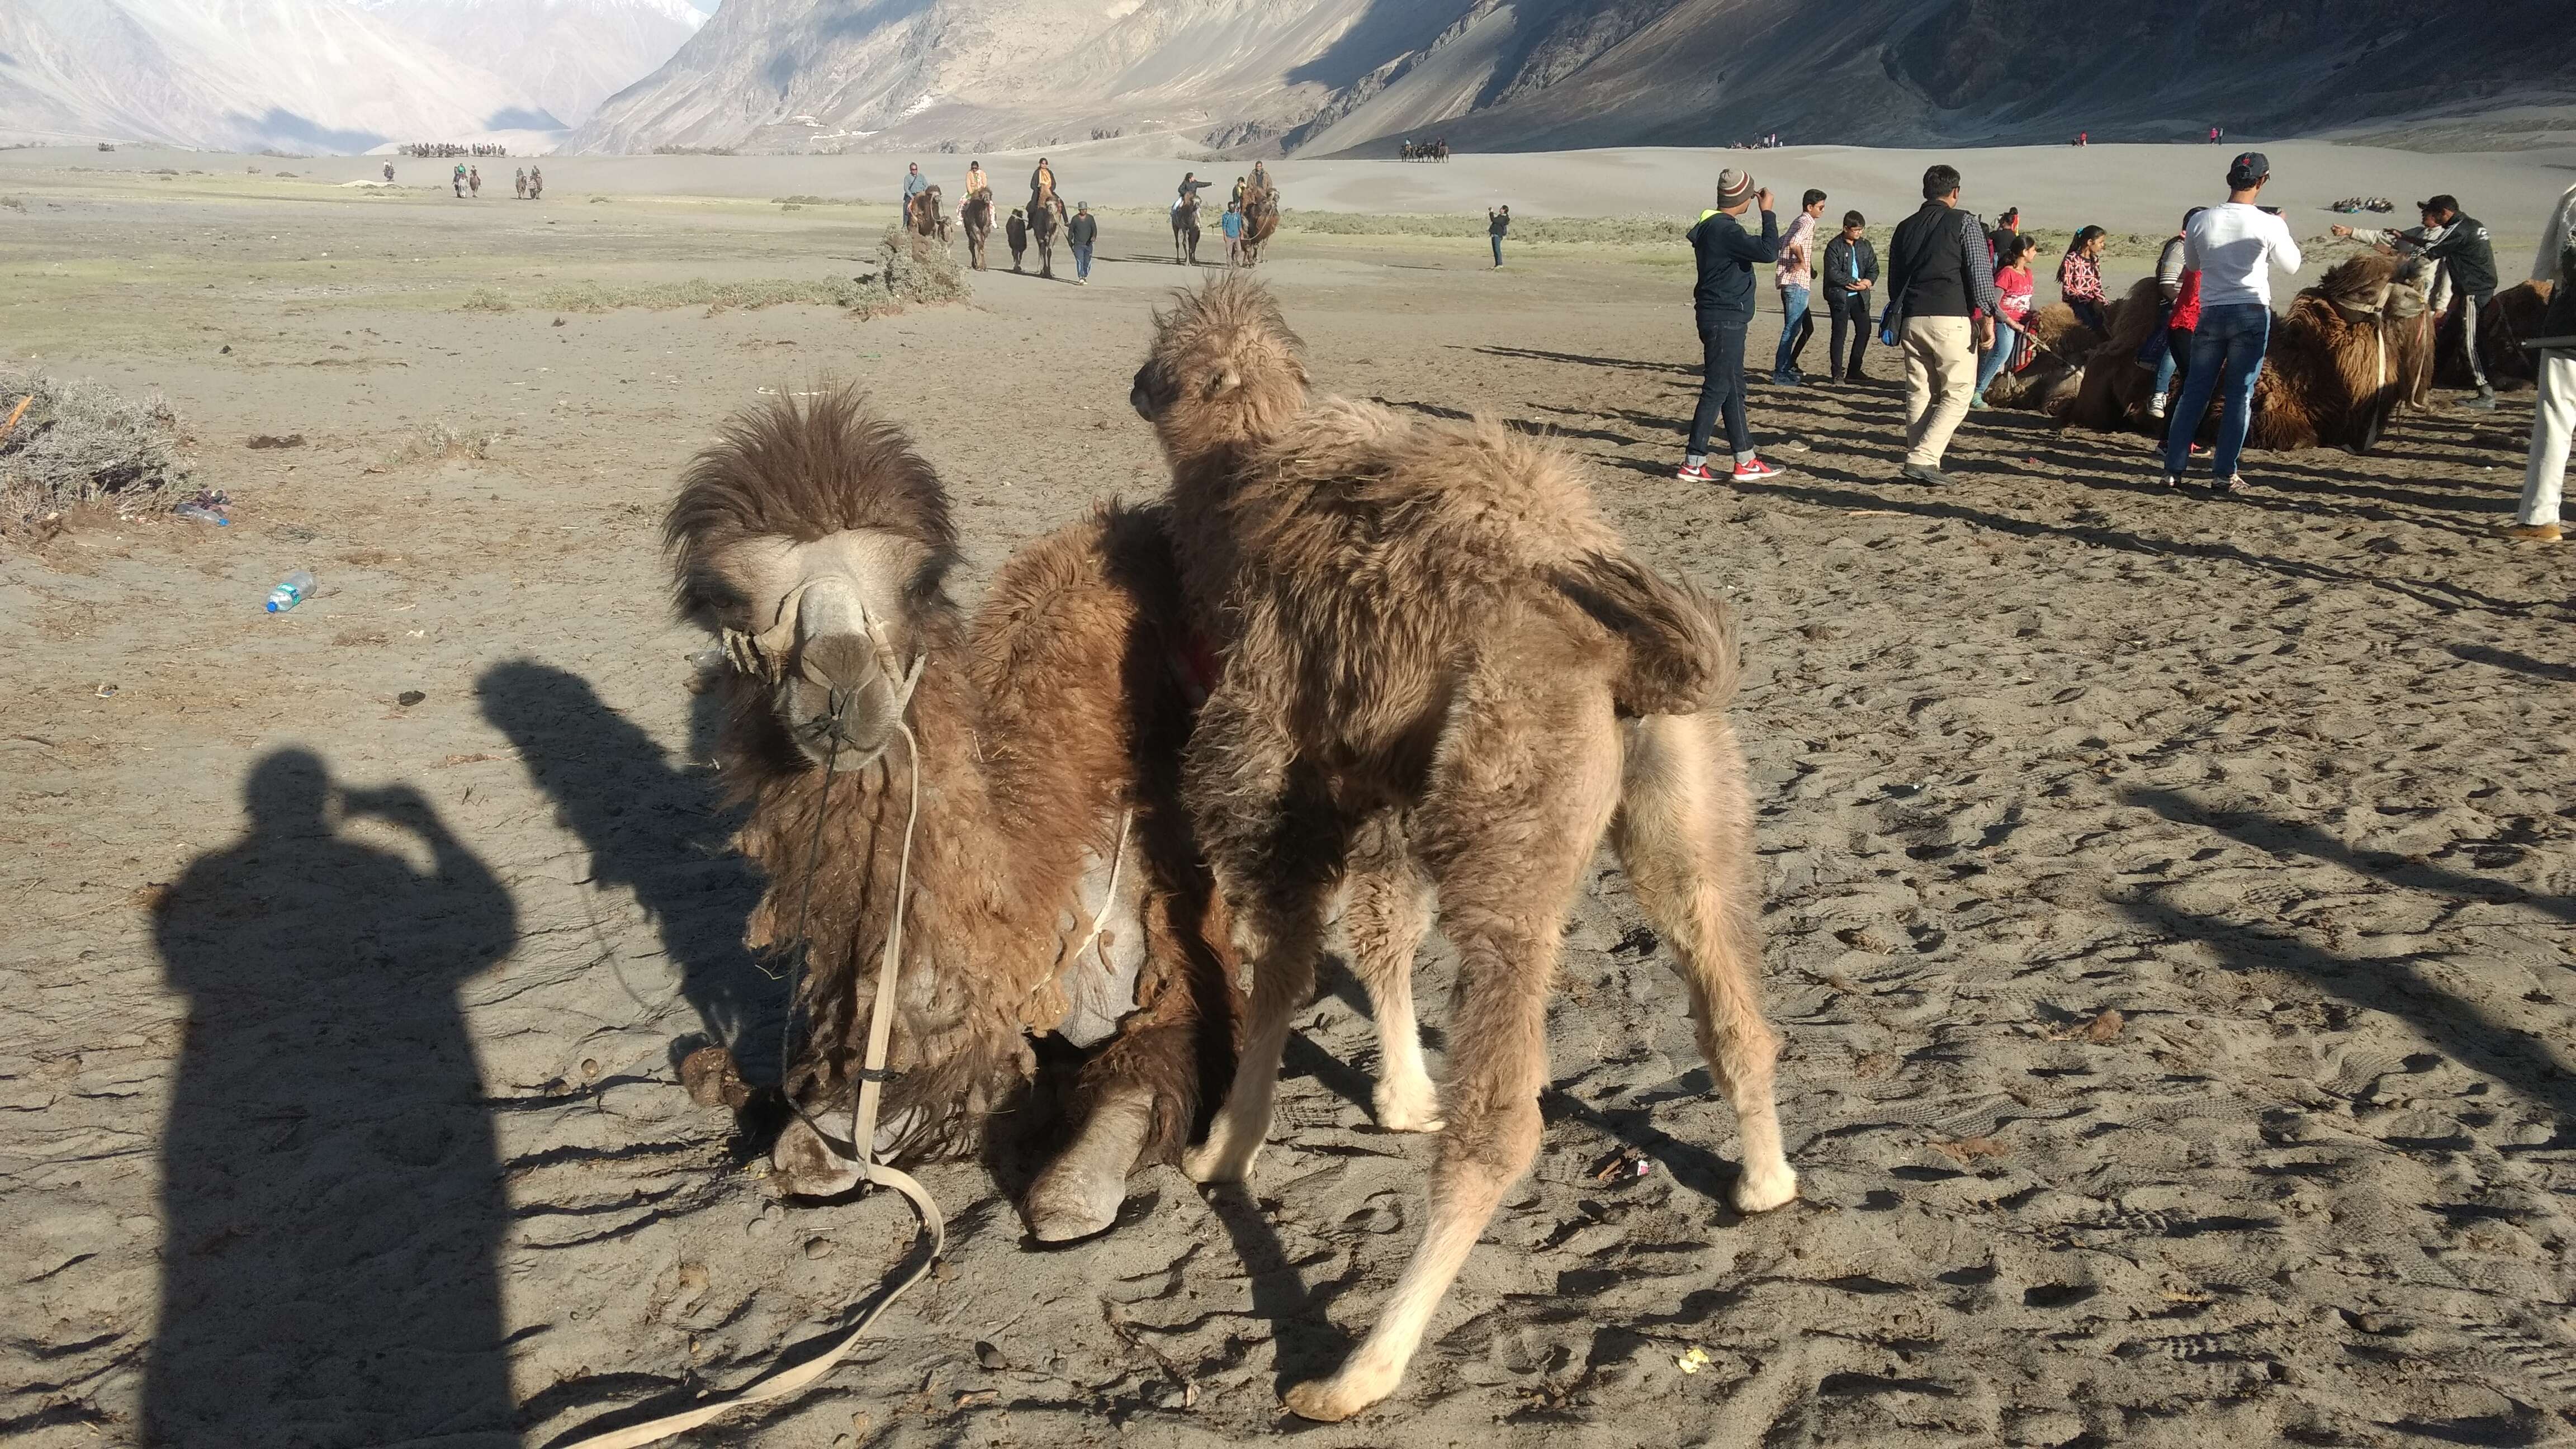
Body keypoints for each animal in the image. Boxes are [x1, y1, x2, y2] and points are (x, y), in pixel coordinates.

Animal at [670, 386, 1242, 1243]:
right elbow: (812, 1148)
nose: (842, 690)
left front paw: (1069, 1183)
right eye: (729, 598)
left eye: (919, 580)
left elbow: (1075, 1183)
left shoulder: (1171, 971)